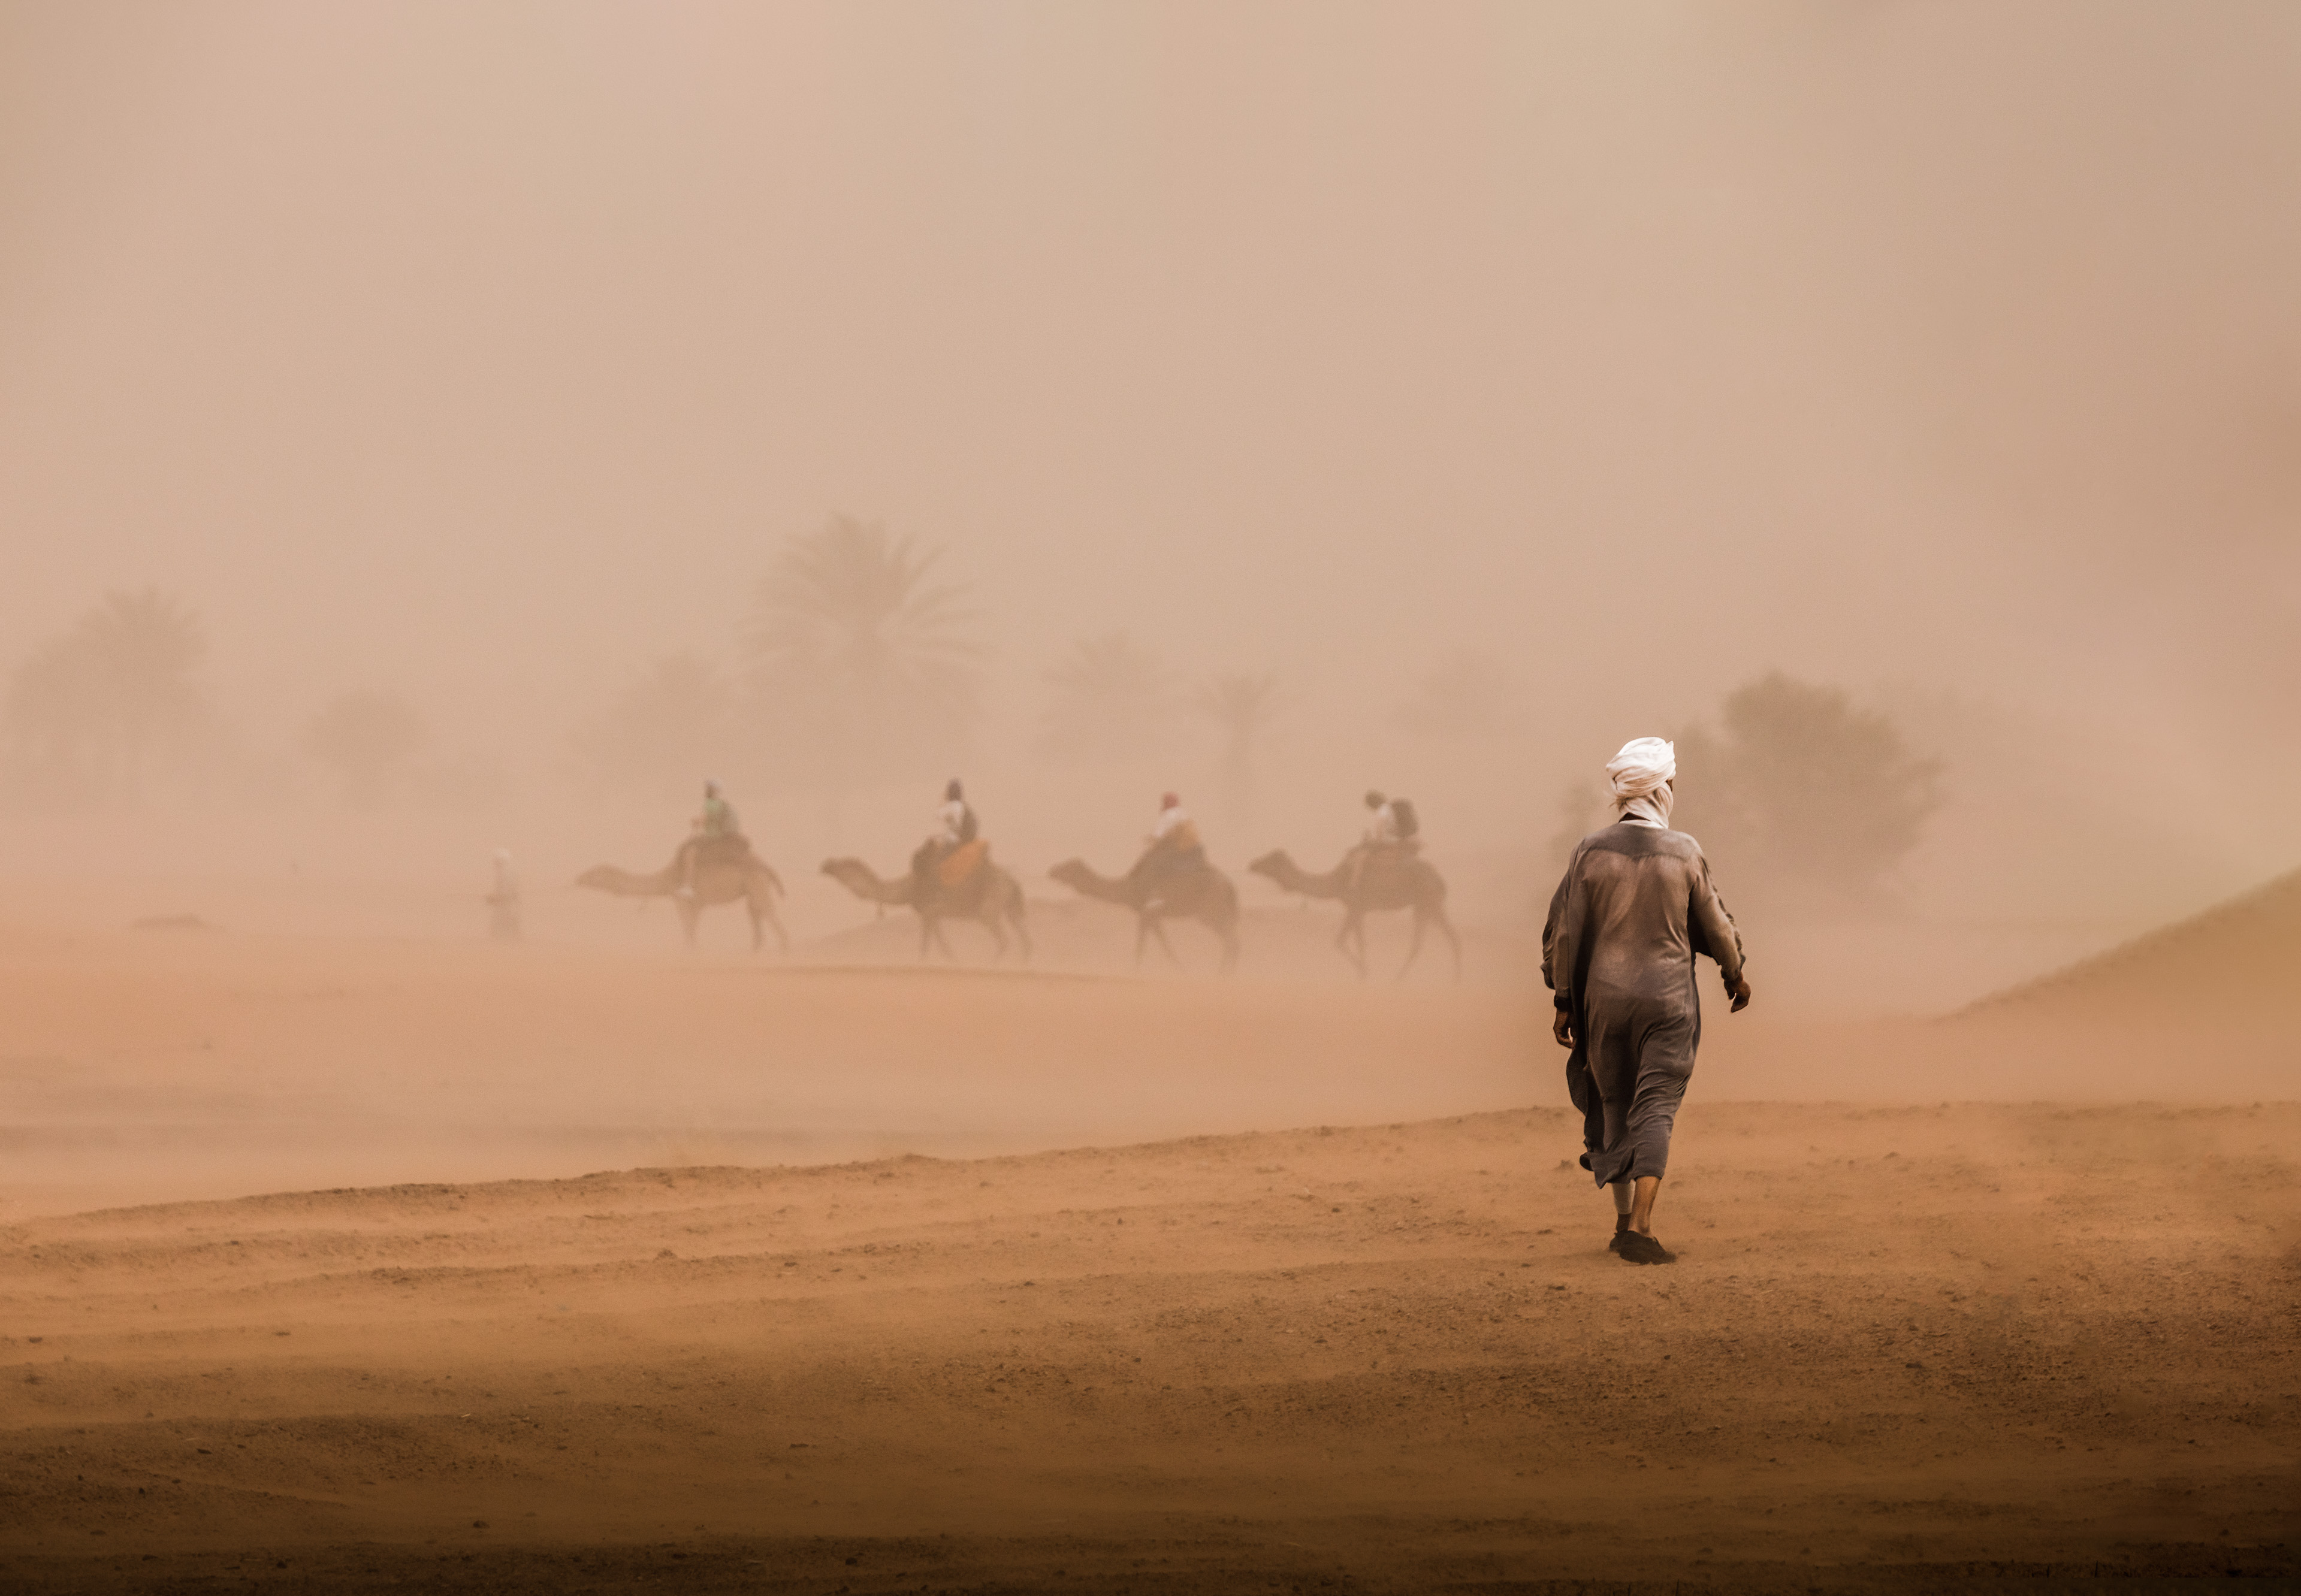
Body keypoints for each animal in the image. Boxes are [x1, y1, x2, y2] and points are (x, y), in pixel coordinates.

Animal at [575, 855, 791, 956]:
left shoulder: (692, 899)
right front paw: (691, 950)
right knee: (756, 914)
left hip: (757, 883)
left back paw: (783, 952)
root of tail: (768, 868)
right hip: (753, 888)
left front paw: (690, 952)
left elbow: (689, 926)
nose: (579, 878)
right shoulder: (688, 900)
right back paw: (756, 952)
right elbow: (689, 926)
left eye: (595, 874)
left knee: (769, 914)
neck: (669, 877)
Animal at [823, 864, 1031, 961]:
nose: (827, 865)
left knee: (1005, 940)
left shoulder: (930, 910)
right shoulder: (932, 915)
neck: (907, 888)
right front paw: (953, 962)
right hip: (1009, 907)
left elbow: (927, 945)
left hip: (988, 910)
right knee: (1025, 939)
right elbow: (938, 944)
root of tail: (1012, 881)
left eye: (842, 865)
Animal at [1053, 864, 1242, 975]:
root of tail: (1228, 884)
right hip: (1214, 912)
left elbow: (1143, 942)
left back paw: (1222, 973)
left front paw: (1135, 971)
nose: (1051, 871)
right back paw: (1228, 972)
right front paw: (1180, 968)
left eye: (1068, 868)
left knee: (1230, 938)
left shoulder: (1146, 912)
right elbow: (1160, 941)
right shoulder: (1151, 915)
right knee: (1231, 937)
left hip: (1210, 910)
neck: (1126, 888)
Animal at [1251, 851, 1463, 989]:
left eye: (1270, 861)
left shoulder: (1355, 906)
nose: (1252, 864)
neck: (1336, 881)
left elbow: (1341, 941)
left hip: (1431, 901)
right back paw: (1402, 978)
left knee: (1450, 936)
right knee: (1423, 942)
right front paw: (1364, 973)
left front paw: (1364, 973)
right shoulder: (1358, 910)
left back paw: (1453, 981)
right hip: (1422, 907)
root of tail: (1440, 879)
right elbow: (1359, 942)